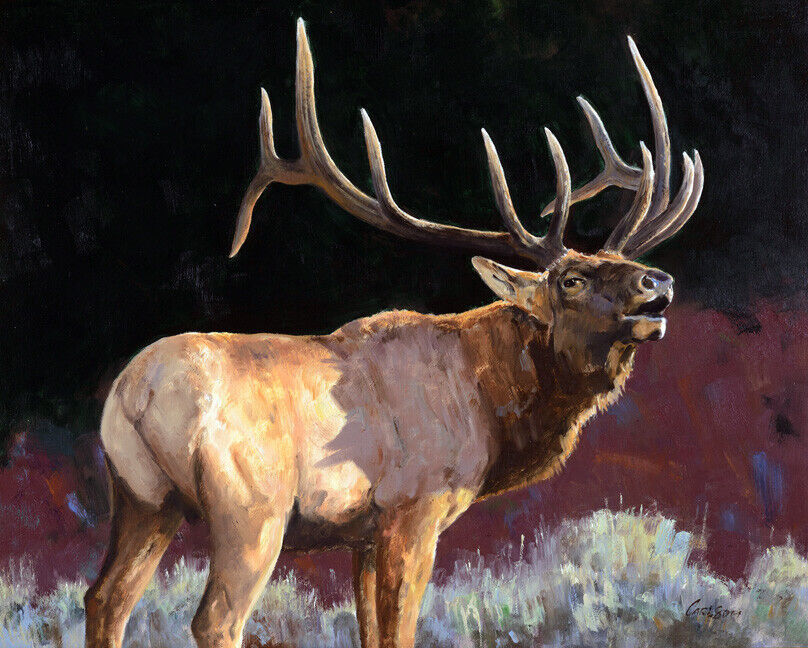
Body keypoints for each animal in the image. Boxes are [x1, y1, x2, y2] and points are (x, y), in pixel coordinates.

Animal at [85, 19, 703, 648]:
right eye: (572, 279)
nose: (658, 281)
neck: (488, 403)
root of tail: (133, 394)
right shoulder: (416, 508)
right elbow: (400, 629)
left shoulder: (363, 534)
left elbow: (370, 630)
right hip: (250, 508)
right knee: (215, 618)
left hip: (140, 498)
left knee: (105, 597)